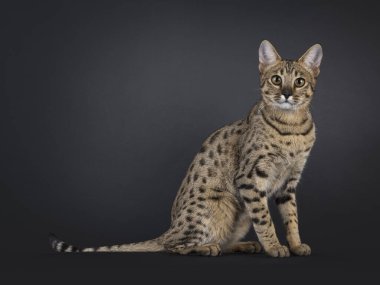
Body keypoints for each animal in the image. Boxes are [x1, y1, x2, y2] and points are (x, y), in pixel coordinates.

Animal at [51, 40, 324, 258]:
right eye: (276, 80)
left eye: (299, 82)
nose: (287, 94)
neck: (291, 127)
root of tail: (169, 228)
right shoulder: (250, 178)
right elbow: (265, 220)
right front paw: (275, 247)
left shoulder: (289, 183)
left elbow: (291, 218)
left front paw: (295, 245)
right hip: (220, 205)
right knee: (173, 245)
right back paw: (205, 247)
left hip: (239, 214)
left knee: (218, 241)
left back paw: (242, 245)